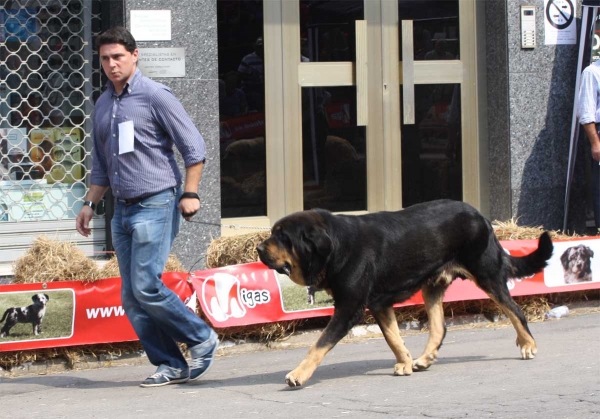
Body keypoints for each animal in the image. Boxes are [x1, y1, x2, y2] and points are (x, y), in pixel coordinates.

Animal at [258, 200, 552, 388]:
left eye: (283, 237)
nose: (259, 248)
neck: (336, 247)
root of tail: (482, 217)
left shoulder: (349, 308)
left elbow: (318, 345)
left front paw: (299, 374)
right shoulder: (380, 304)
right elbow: (393, 337)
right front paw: (406, 362)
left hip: (486, 274)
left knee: (515, 310)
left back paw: (528, 344)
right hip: (433, 285)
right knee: (439, 327)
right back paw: (425, 359)